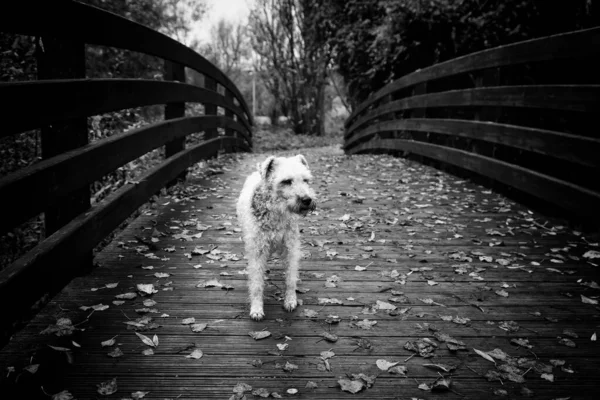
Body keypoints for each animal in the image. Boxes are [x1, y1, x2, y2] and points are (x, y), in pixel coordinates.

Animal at [236, 155, 316, 320]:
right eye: (286, 181)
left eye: (306, 180)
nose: (307, 200)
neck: (277, 212)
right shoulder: (258, 251)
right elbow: (256, 283)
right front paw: (257, 309)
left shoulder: (291, 248)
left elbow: (290, 279)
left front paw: (290, 301)